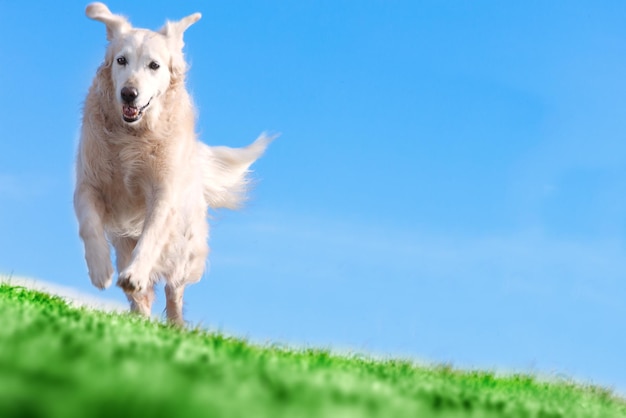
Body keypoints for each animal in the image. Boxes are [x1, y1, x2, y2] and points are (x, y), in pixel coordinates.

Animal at [74, 1, 270, 324]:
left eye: (154, 65)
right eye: (121, 60)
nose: (129, 93)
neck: (133, 135)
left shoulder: (164, 193)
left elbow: (152, 235)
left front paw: (135, 274)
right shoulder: (89, 183)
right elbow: (89, 225)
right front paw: (100, 270)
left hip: (183, 249)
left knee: (174, 291)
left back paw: (175, 326)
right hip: (125, 245)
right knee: (143, 297)